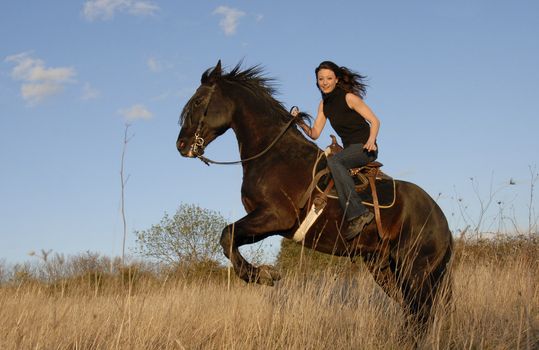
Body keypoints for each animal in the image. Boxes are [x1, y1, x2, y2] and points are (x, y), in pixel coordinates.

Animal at [177, 60, 452, 326]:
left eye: (198, 101)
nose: (181, 145)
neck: (274, 154)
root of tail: (442, 222)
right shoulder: (270, 224)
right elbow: (230, 239)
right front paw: (262, 273)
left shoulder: (276, 217)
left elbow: (227, 235)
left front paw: (264, 275)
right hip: (384, 268)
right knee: (413, 313)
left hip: (415, 270)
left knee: (420, 314)